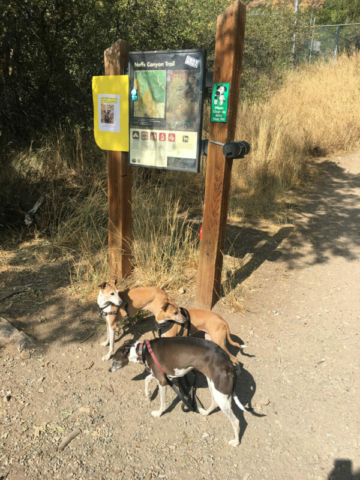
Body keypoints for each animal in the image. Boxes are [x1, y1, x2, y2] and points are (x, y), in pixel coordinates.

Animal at [108, 338, 246, 446]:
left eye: (115, 361)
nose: (109, 370)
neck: (143, 350)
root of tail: (229, 362)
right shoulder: (161, 375)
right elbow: (147, 379)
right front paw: (148, 395)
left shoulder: (162, 381)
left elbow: (162, 403)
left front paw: (158, 413)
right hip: (213, 386)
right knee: (214, 402)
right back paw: (205, 412)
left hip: (220, 392)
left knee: (235, 421)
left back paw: (236, 442)